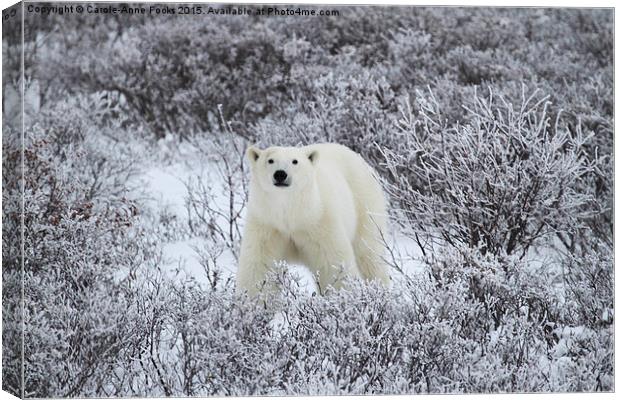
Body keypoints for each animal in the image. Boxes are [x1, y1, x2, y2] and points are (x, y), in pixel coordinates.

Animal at [236, 142, 388, 296]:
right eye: (270, 160)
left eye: (295, 161)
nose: (280, 174)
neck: (292, 214)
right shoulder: (266, 223)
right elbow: (259, 265)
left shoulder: (319, 221)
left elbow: (332, 262)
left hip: (363, 204)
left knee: (368, 254)